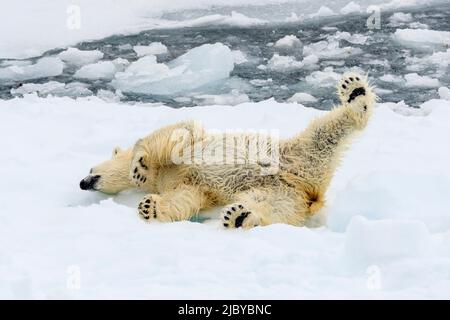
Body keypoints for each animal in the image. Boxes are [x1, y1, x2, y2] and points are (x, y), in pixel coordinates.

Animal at [80, 73, 376, 228]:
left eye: (91, 168)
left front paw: (139, 165)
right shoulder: (187, 185)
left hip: (293, 154)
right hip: (284, 192)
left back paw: (355, 94)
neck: (161, 175)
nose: (83, 183)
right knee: (269, 205)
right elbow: (185, 199)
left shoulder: (189, 144)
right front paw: (149, 206)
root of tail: (311, 191)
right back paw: (241, 216)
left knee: (326, 131)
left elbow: (173, 134)